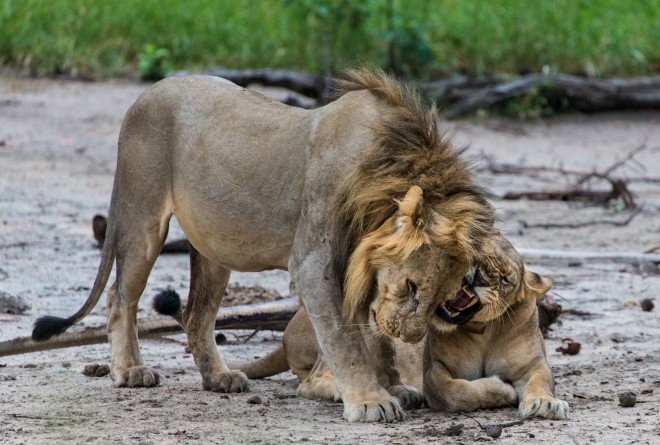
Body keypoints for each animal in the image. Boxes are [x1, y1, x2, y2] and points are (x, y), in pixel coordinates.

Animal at [33, 68, 492, 420]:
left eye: (444, 300)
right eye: (413, 286)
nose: (411, 337)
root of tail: (146, 94)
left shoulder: (360, 269)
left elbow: (369, 334)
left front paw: (389, 387)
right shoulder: (313, 262)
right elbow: (346, 339)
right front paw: (368, 401)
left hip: (214, 249)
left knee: (196, 315)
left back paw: (219, 377)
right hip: (141, 216)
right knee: (119, 296)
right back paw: (130, 370)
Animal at [235, 232, 568, 420]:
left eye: (505, 278)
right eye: (474, 255)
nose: (477, 276)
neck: (482, 331)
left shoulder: (534, 365)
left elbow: (540, 382)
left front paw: (546, 404)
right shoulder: (435, 370)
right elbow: (458, 392)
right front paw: (503, 391)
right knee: (313, 380)